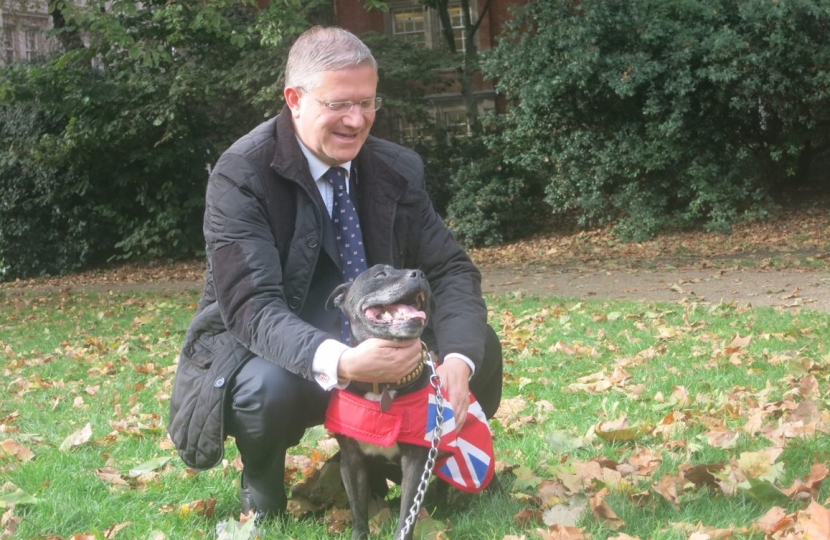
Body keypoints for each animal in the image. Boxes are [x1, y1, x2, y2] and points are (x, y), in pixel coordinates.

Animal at [324, 266, 436, 540]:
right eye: (380, 274)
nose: (419, 274)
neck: (383, 383)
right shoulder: (351, 460)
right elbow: (357, 507)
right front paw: (359, 534)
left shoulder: (416, 462)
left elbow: (408, 512)